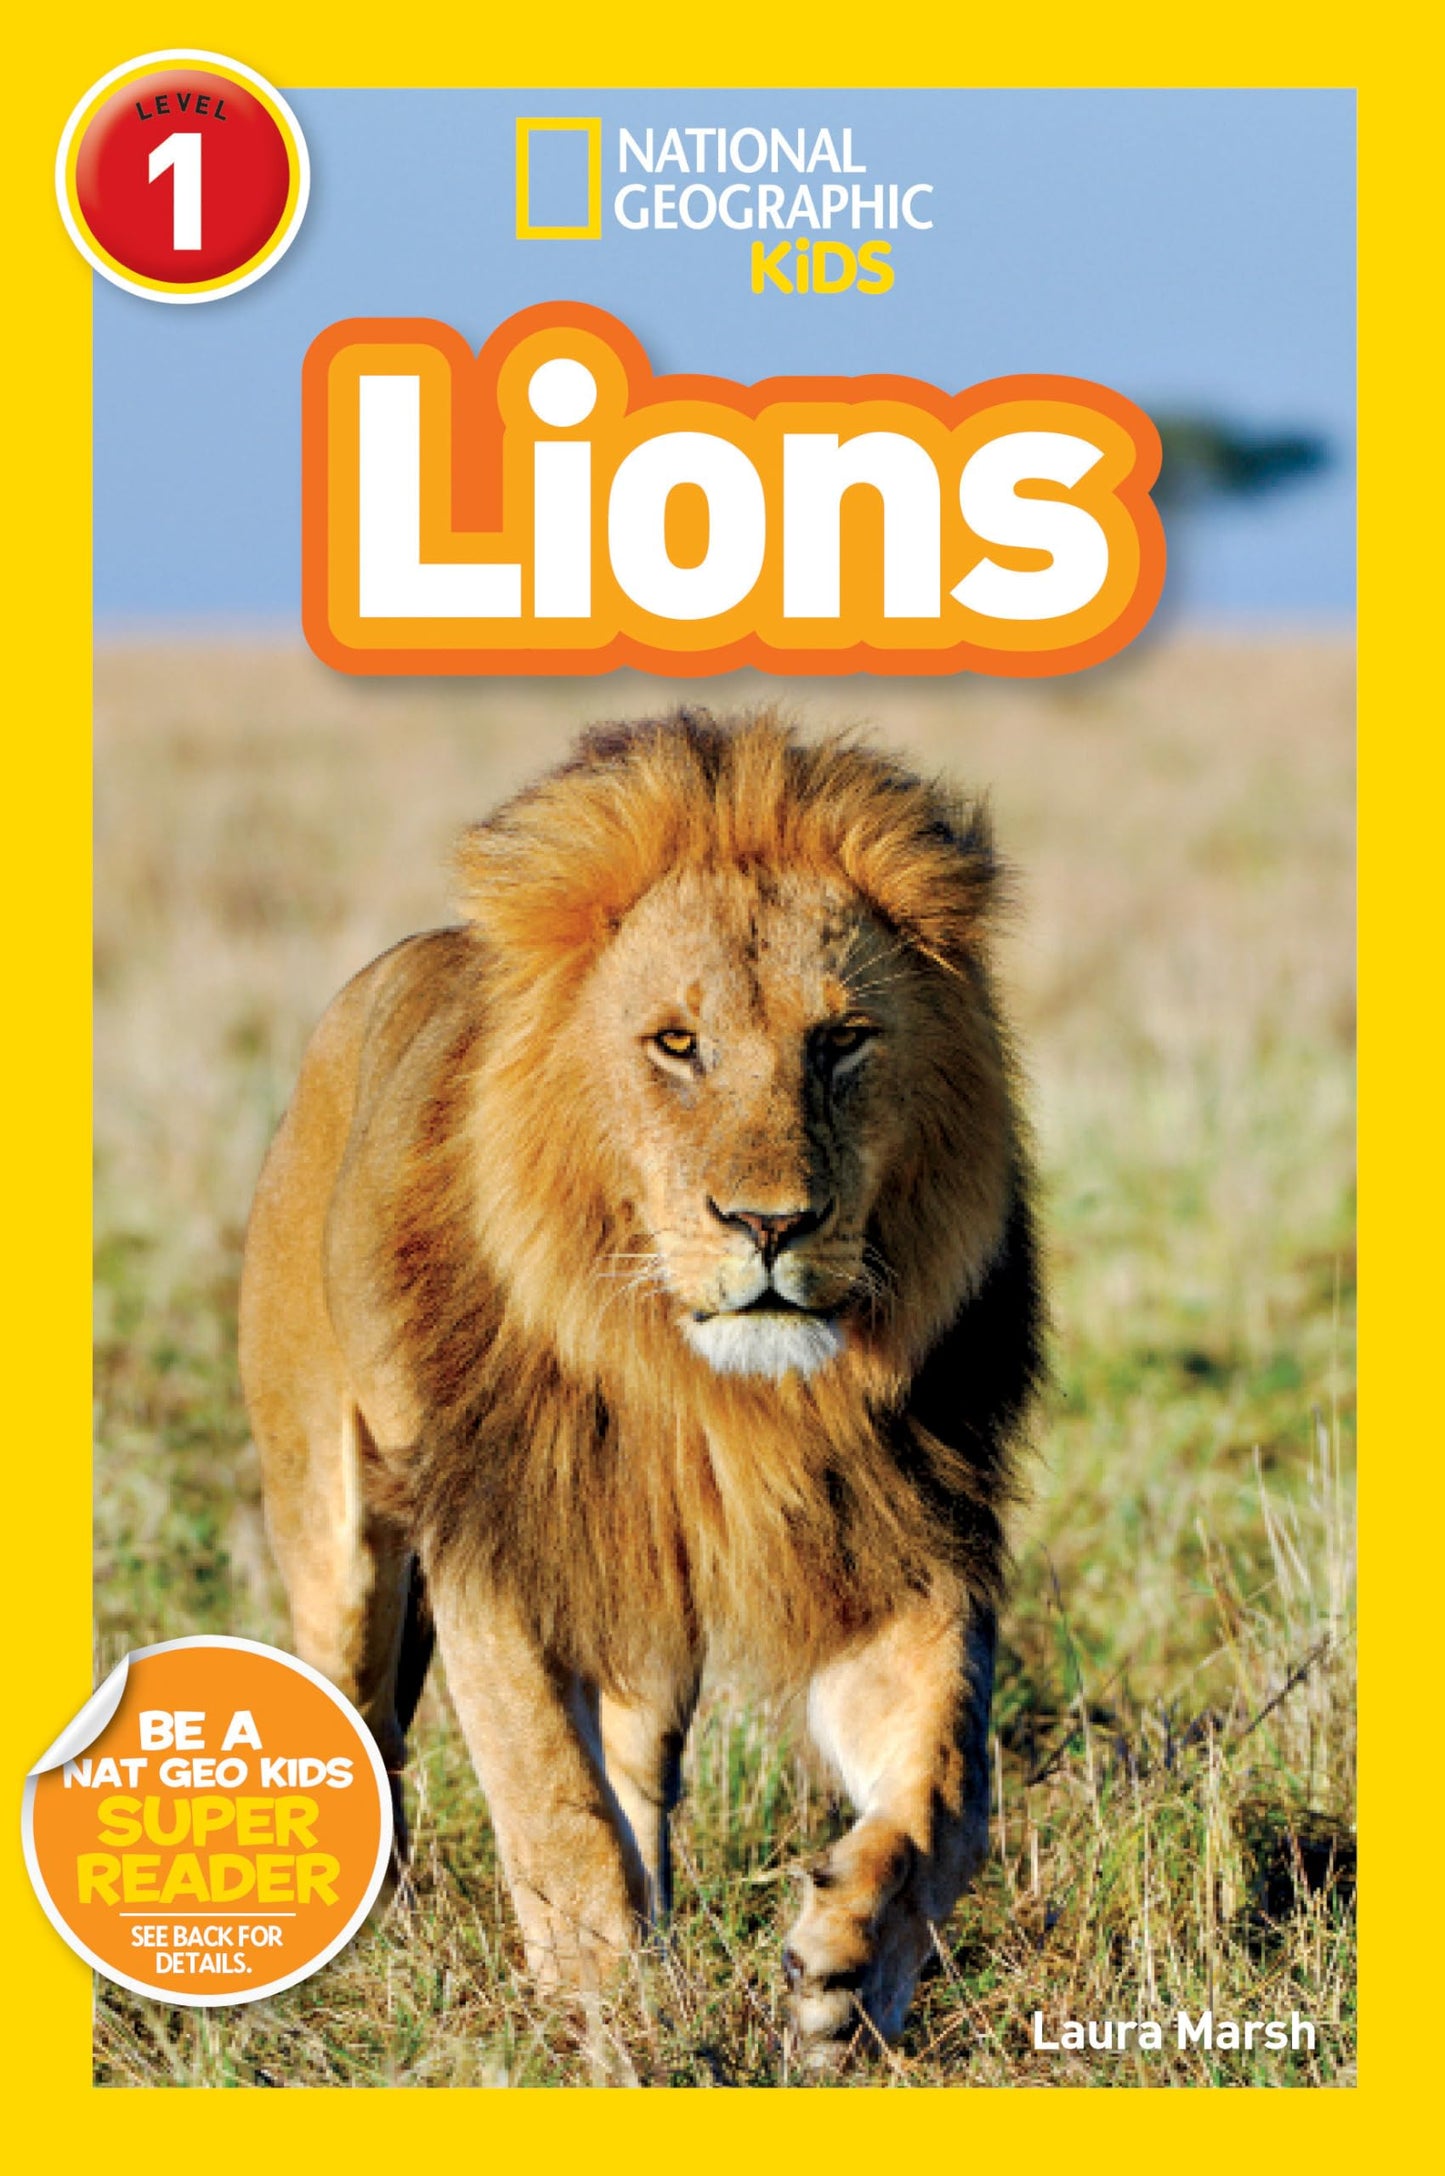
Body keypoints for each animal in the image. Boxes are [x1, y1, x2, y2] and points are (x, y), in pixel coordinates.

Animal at [238, 709, 1042, 2063]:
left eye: (841, 1042)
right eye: (677, 1044)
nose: (770, 1224)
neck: (710, 1395)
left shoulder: (892, 1541)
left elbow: (947, 1785)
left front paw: (848, 1970)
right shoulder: (497, 1546)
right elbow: (549, 1803)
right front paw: (606, 2016)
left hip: (648, 1624)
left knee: (636, 1768)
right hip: (332, 1530)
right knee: (361, 1704)